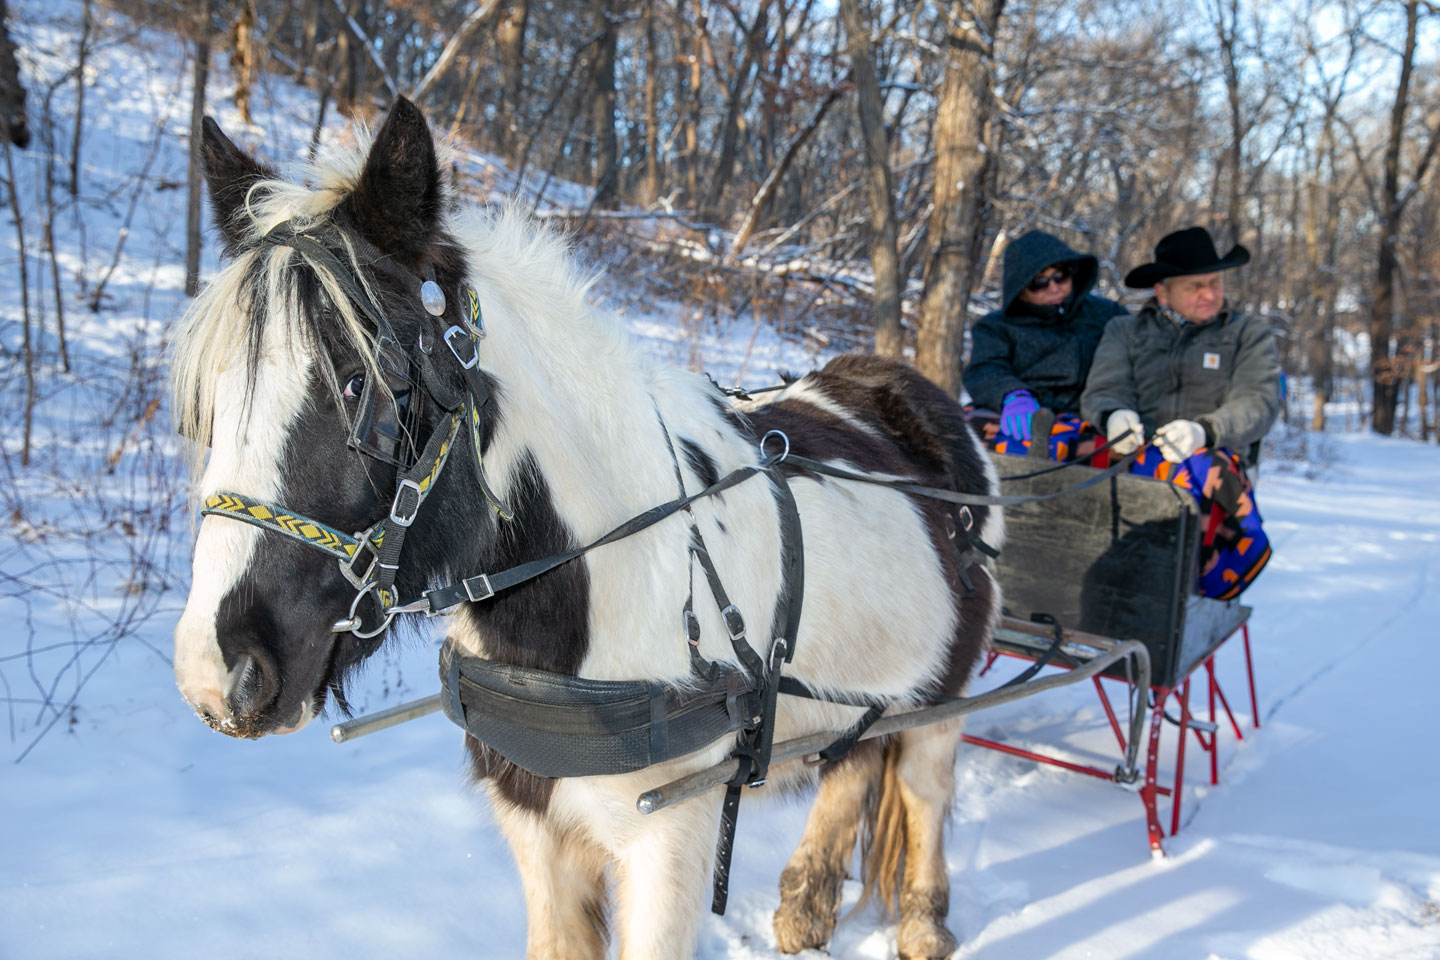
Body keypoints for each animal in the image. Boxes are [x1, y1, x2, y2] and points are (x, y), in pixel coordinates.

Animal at [171, 99, 1002, 960]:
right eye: (209, 401)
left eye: (361, 385)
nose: (218, 671)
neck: (603, 588)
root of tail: (906, 386)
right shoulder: (534, 818)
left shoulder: (669, 835)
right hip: (866, 694)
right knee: (853, 763)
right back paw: (806, 904)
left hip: (944, 690)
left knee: (924, 783)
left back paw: (923, 920)